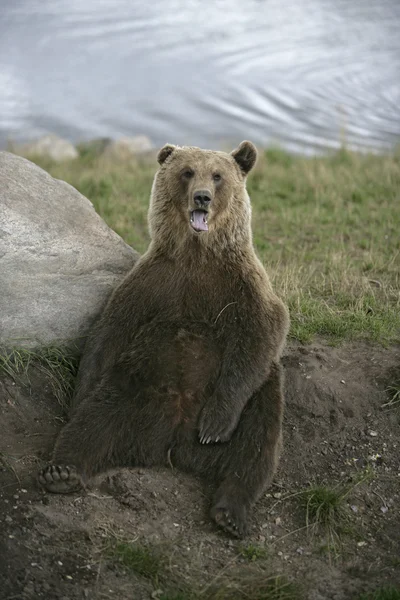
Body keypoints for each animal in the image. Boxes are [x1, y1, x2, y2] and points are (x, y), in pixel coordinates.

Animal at [37, 142, 290, 540]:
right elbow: (109, 331)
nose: (202, 197)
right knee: (93, 423)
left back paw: (230, 512)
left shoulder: (238, 285)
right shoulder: (156, 282)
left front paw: (214, 425)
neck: (198, 253)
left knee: (257, 442)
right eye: (187, 172)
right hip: (132, 389)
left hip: (258, 399)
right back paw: (62, 471)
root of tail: (172, 446)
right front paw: (76, 399)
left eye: (218, 175)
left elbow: (264, 330)